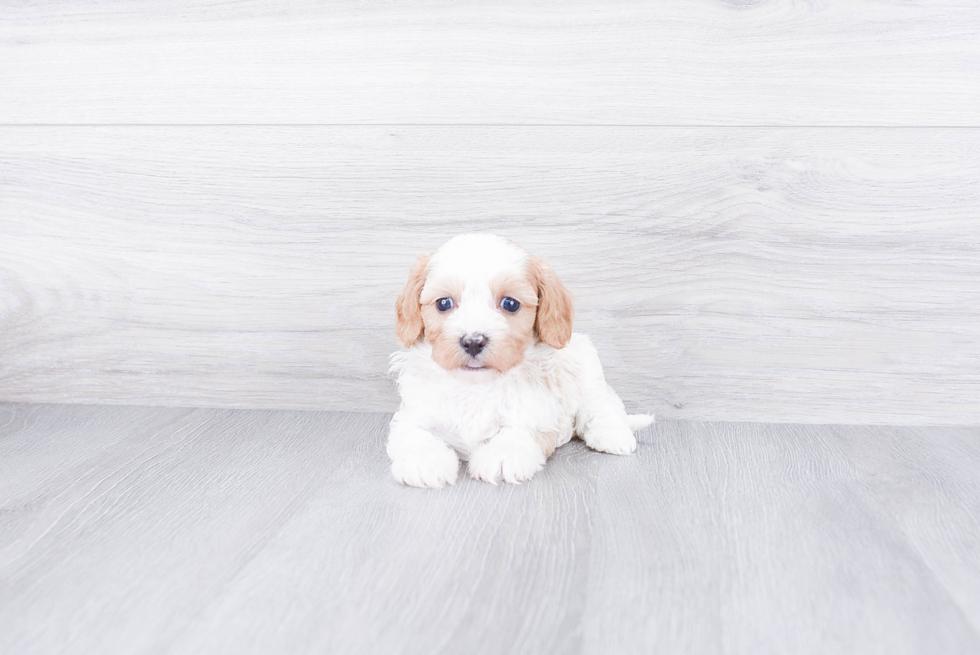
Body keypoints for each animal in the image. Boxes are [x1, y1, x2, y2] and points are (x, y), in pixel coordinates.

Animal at [386, 236, 656, 486]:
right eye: (444, 303)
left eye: (510, 304)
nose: (473, 341)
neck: (475, 387)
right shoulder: (413, 413)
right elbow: (414, 432)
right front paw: (424, 461)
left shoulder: (536, 414)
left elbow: (517, 432)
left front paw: (502, 456)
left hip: (586, 363)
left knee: (602, 406)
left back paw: (613, 435)